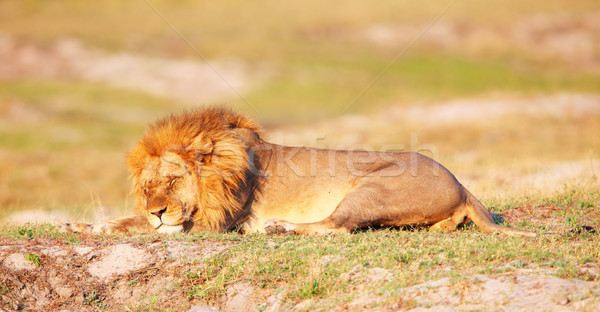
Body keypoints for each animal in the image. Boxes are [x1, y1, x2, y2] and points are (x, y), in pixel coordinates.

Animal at [62, 107, 536, 236]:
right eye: (147, 186)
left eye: (173, 180)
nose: (157, 210)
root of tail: (462, 183)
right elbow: (126, 220)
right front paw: (82, 224)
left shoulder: (221, 222)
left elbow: (143, 228)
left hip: (371, 188)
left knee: (337, 227)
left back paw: (281, 227)